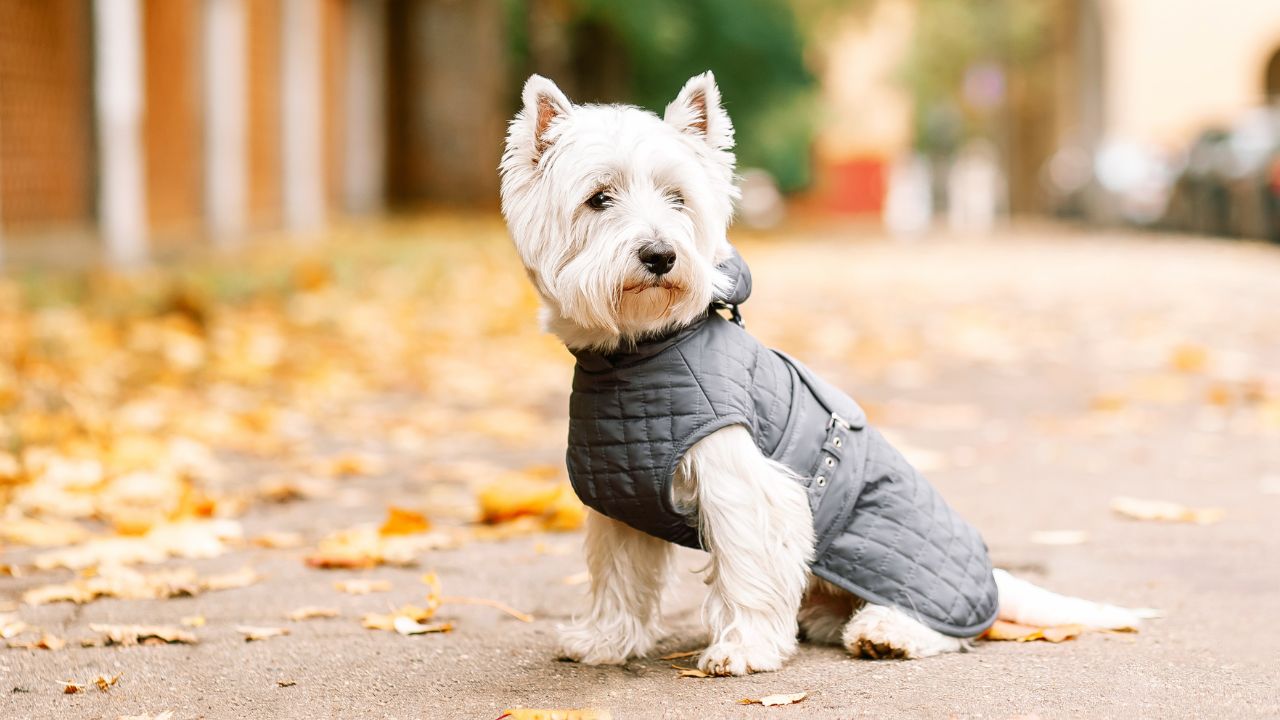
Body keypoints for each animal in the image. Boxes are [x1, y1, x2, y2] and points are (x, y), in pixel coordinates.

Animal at [494, 71, 1146, 671]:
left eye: (678, 198)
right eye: (598, 198)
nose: (661, 255)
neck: (636, 353)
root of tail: (990, 574)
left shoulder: (745, 486)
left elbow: (747, 568)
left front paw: (744, 650)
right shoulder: (622, 498)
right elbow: (619, 578)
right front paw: (605, 641)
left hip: (895, 552)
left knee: (954, 625)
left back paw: (888, 630)